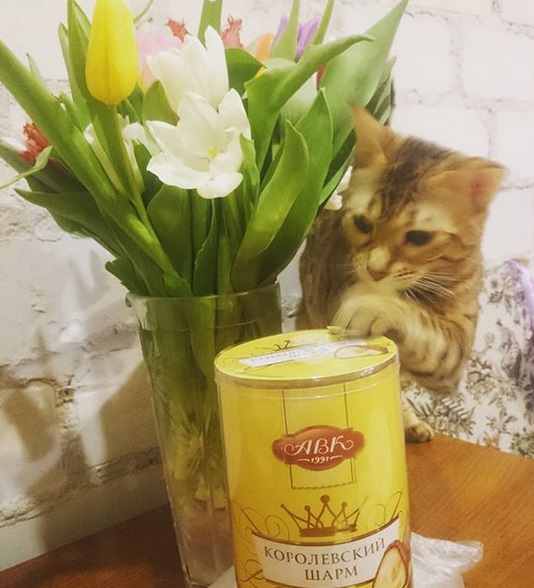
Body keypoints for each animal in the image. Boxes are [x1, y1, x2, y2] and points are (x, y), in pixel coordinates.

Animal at [300, 108, 508, 440]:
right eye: (362, 223)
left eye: (419, 237)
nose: (375, 269)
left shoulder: (454, 350)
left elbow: (425, 334)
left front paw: (371, 305)